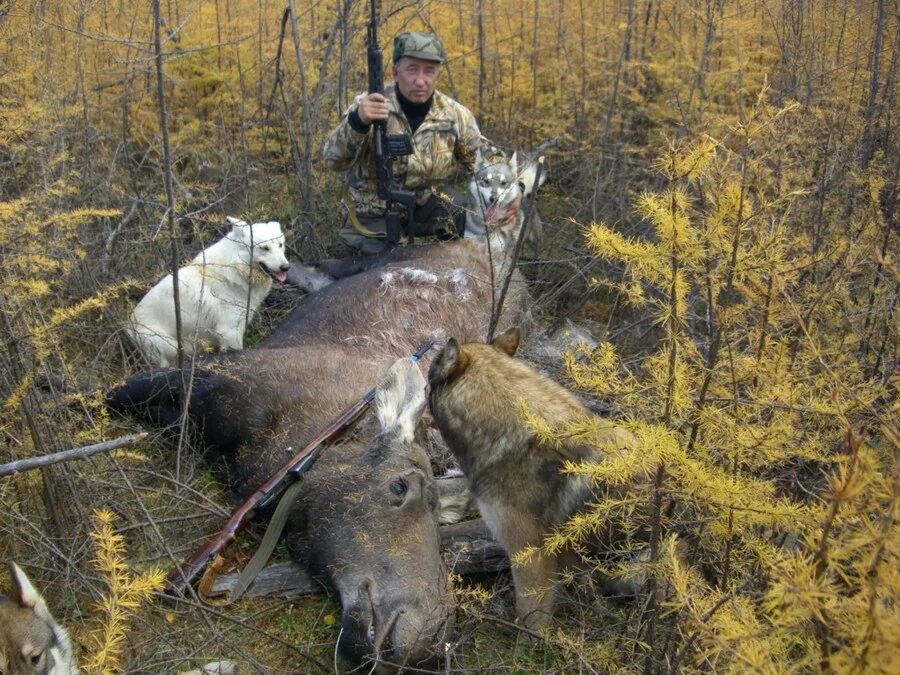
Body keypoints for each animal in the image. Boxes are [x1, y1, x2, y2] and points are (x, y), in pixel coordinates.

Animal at [126, 218, 286, 368]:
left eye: (280, 245)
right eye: (264, 248)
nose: (286, 267)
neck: (235, 267)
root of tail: (128, 325)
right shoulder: (230, 332)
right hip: (168, 346)